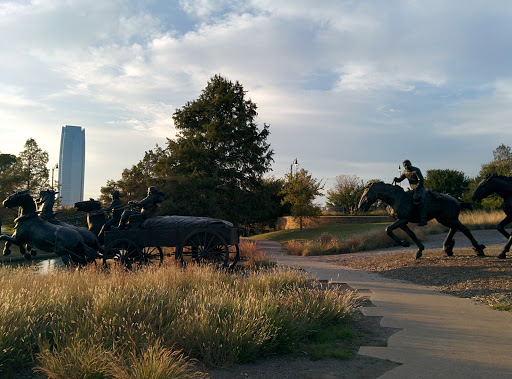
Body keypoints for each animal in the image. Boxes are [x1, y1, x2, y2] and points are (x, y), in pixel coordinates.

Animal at [358, 183, 486, 260]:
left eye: (365, 194)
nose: (360, 207)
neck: (395, 198)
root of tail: (457, 201)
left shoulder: (403, 219)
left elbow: (388, 229)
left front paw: (405, 244)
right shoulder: (402, 222)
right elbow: (411, 234)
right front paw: (416, 249)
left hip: (449, 219)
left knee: (465, 230)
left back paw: (478, 249)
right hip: (446, 219)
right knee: (455, 229)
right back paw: (448, 248)